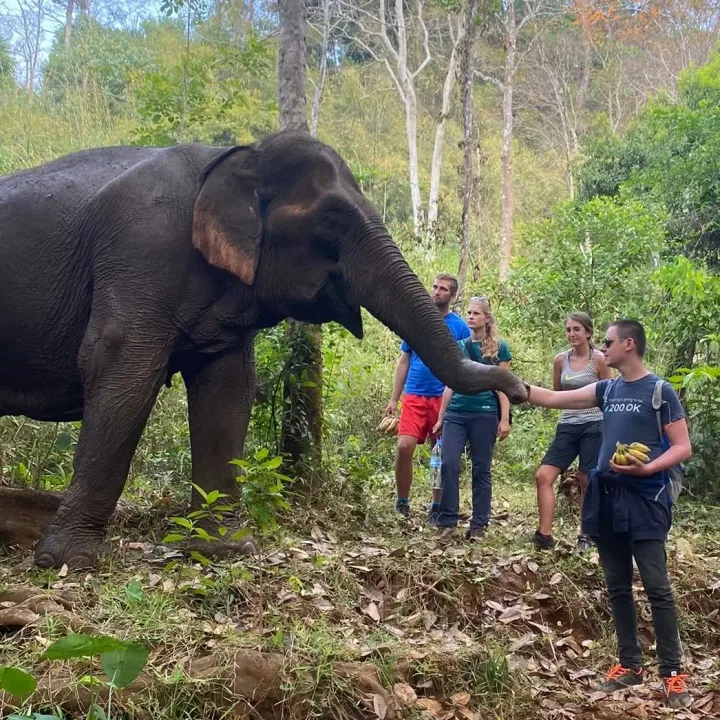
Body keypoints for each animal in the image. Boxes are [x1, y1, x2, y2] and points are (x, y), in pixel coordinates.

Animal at [0, 130, 528, 569]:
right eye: (331, 219)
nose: (519, 388)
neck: (232, 156)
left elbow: (228, 388)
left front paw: (223, 549)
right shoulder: (140, 252)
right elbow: (119, 368)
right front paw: (67, 562)